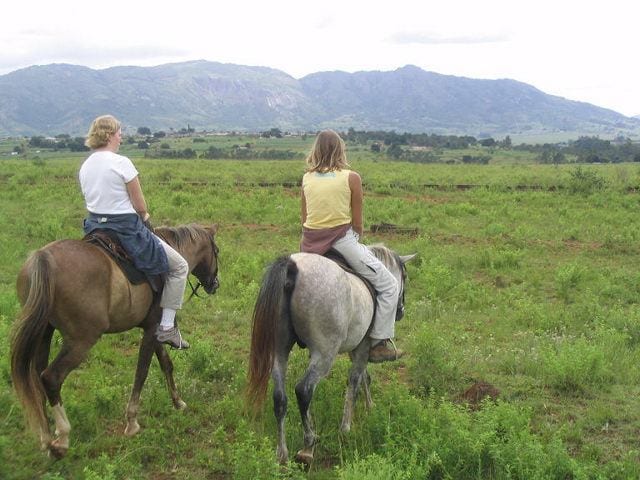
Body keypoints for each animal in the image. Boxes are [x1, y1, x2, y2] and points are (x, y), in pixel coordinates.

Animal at [8, 223, 220, 460]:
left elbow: (166, 364)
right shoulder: (151, 330)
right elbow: (142, 372)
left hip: (44, 332)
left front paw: (177, 401)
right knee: (51, 378)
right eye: (217, 251)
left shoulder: (153, 328)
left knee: (36, 376)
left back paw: (46, 439)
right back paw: (61, 439)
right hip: (81, 341)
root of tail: (43, 258)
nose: (215, 284)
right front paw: (132, 422)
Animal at [245, 246, 416, 464]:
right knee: (304, 390)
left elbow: (364, 378)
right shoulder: (363, 346)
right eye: (405, 276)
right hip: (325, 353)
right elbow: (355, 383)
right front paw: (347, 428)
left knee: (280, 397)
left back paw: (282, 454)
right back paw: (308, 446)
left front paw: (370, 407)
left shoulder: (357, 348)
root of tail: (292, 268)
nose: (401, 311)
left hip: (278, 350)